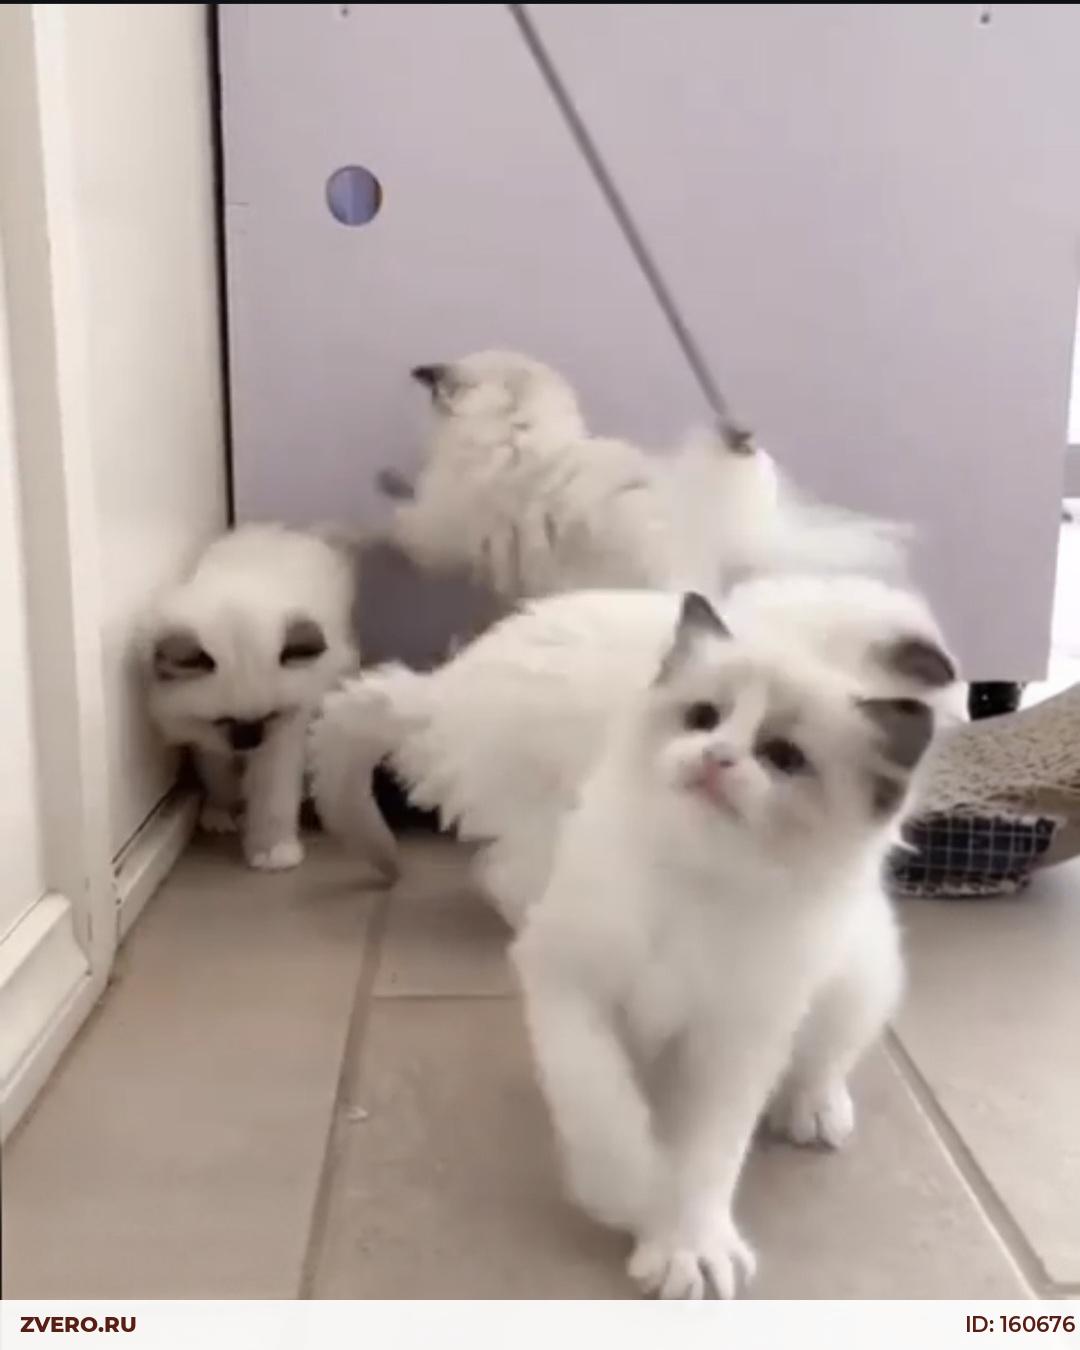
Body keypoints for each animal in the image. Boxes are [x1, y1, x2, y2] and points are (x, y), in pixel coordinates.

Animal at [141, 524, 358, 870]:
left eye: (271, 716)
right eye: (223, 720)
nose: (250, 742)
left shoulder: (281, 737)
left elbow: (272, 800)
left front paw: (273, 852)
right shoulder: (208, 739)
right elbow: (219, 779)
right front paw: (224, 813)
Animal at [385, 350, 908, 600]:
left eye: (437, 389)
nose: (422, 373)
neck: (521, 438)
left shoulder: (442, 529)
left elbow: (407, 524)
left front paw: (389, 485)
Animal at [510, 591, 936, 1298]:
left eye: (783, 757)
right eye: (704, 718)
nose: (717, 757)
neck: (692, 883)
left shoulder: (736, 1040)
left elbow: (708, 1154)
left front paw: (690, 1247)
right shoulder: (566, 982)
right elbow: (601, 1103)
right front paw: (627, 1191)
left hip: (858, 981)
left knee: (825, 1059)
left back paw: (813, 1110)